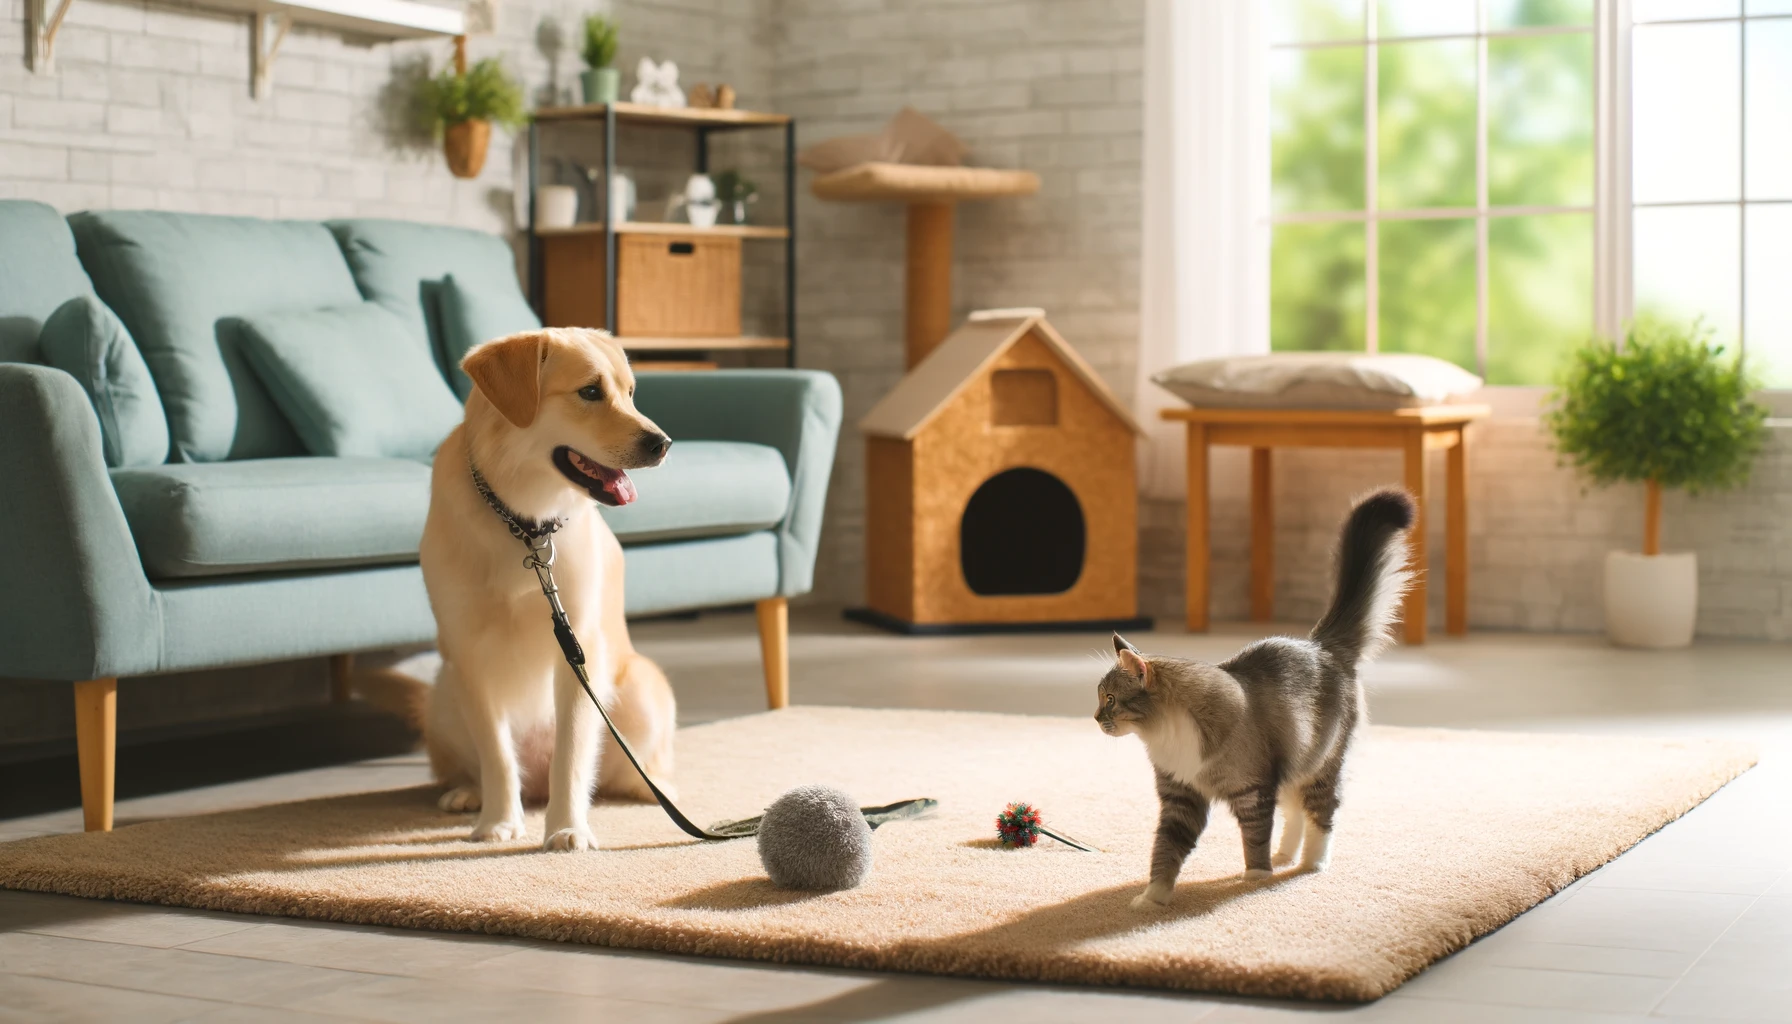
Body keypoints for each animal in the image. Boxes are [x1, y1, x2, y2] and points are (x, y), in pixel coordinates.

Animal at [419, 328, 677, 850]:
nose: (662, 443)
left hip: (643, 687)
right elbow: (496, 753)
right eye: (590, 392)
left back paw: (651, 787)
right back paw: (468, 792)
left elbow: (572, 751)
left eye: (630, 392)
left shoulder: (579, 647)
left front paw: (566, 827)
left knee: (623, 770)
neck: (524, 524)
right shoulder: (468, 654)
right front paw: (499, 820)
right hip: (444, 694)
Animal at [1089, 491, 1412, 914]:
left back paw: (1311, 864)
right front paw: (1152, 897)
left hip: (1321, 764)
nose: (1095, 717)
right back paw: (1285, 856)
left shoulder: (1252, 788)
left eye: (1110, 698)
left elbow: (1254, 836)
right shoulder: (1181, 795)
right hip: (1292, 767)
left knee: (1321, 812)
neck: (1166, 734)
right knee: (1295, 813)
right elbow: (1165, 851)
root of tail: (1320, 644)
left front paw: (1256, 877)